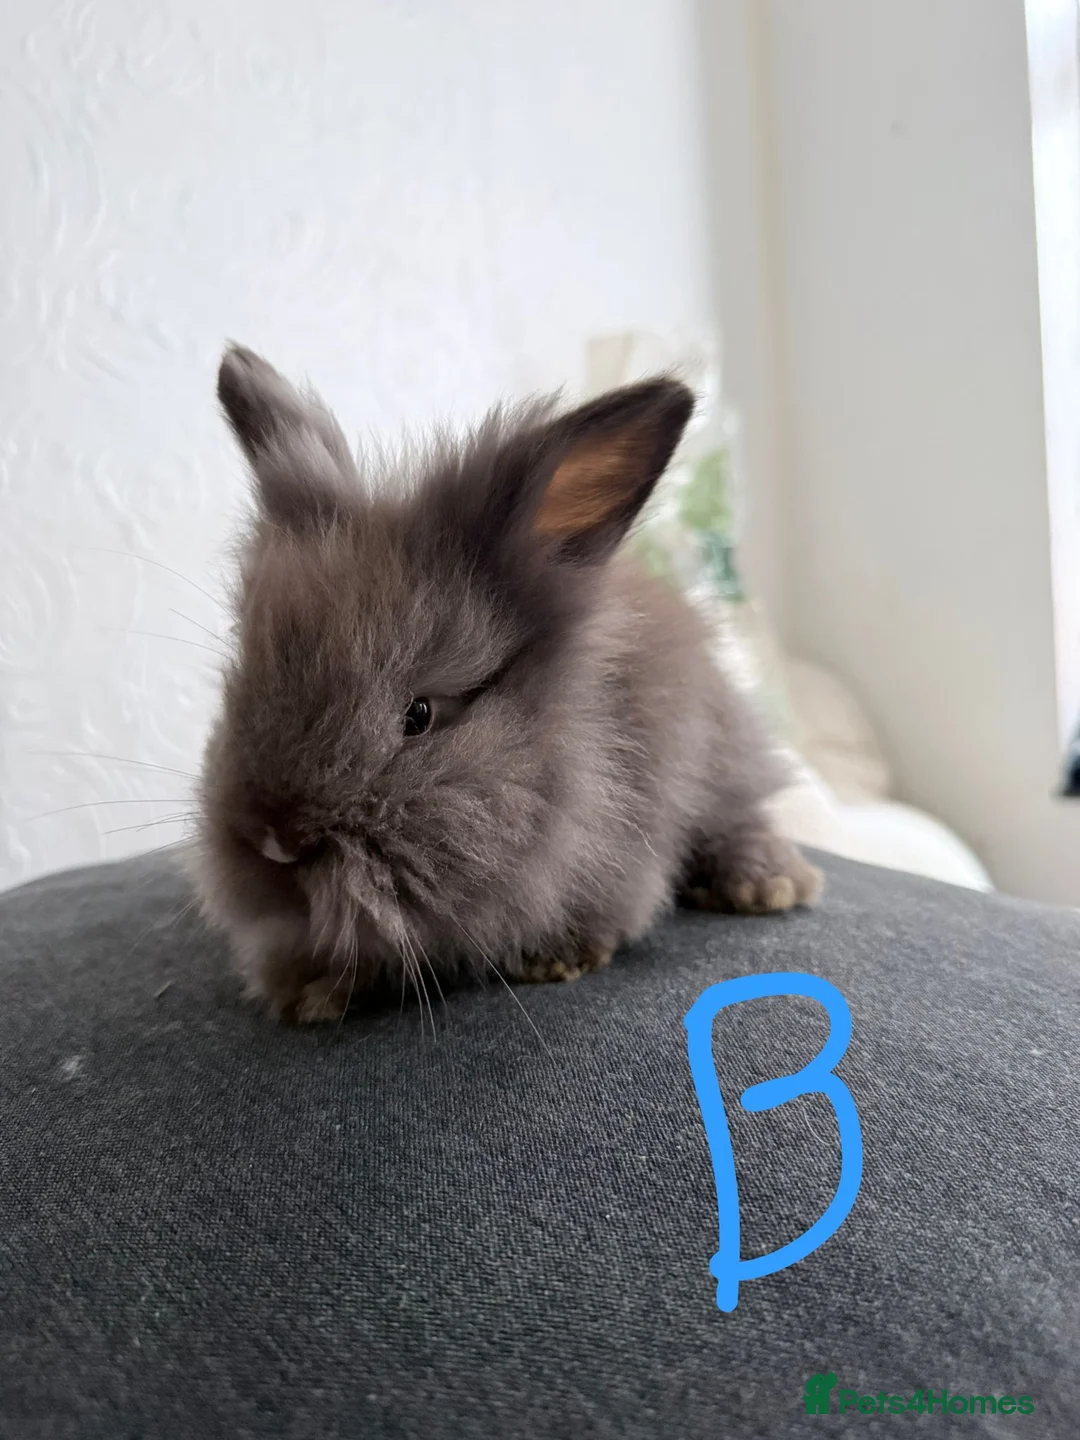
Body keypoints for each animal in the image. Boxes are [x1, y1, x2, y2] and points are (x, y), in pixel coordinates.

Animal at [188, 344, 821, 1023]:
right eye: (239, 689)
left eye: (418, 714)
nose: (276, 840)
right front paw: (305, 989)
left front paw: (555, 958)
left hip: (723, 758)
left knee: (742, 813)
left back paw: (771, 885)